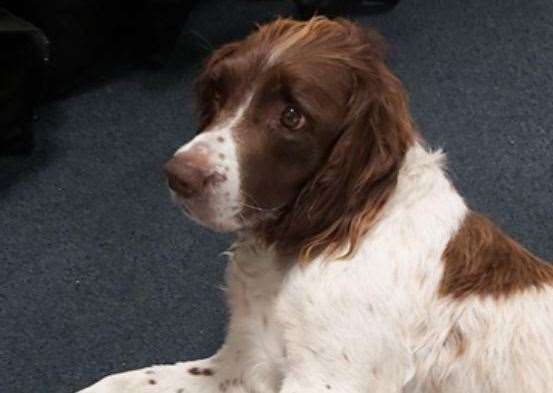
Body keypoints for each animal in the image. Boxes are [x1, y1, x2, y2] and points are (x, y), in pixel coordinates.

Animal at [78, 16, 552, 392]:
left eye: (292, 116)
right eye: (219, 92)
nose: (179, 175)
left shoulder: (326, 379)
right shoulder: (243, 362)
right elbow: (119, 381)